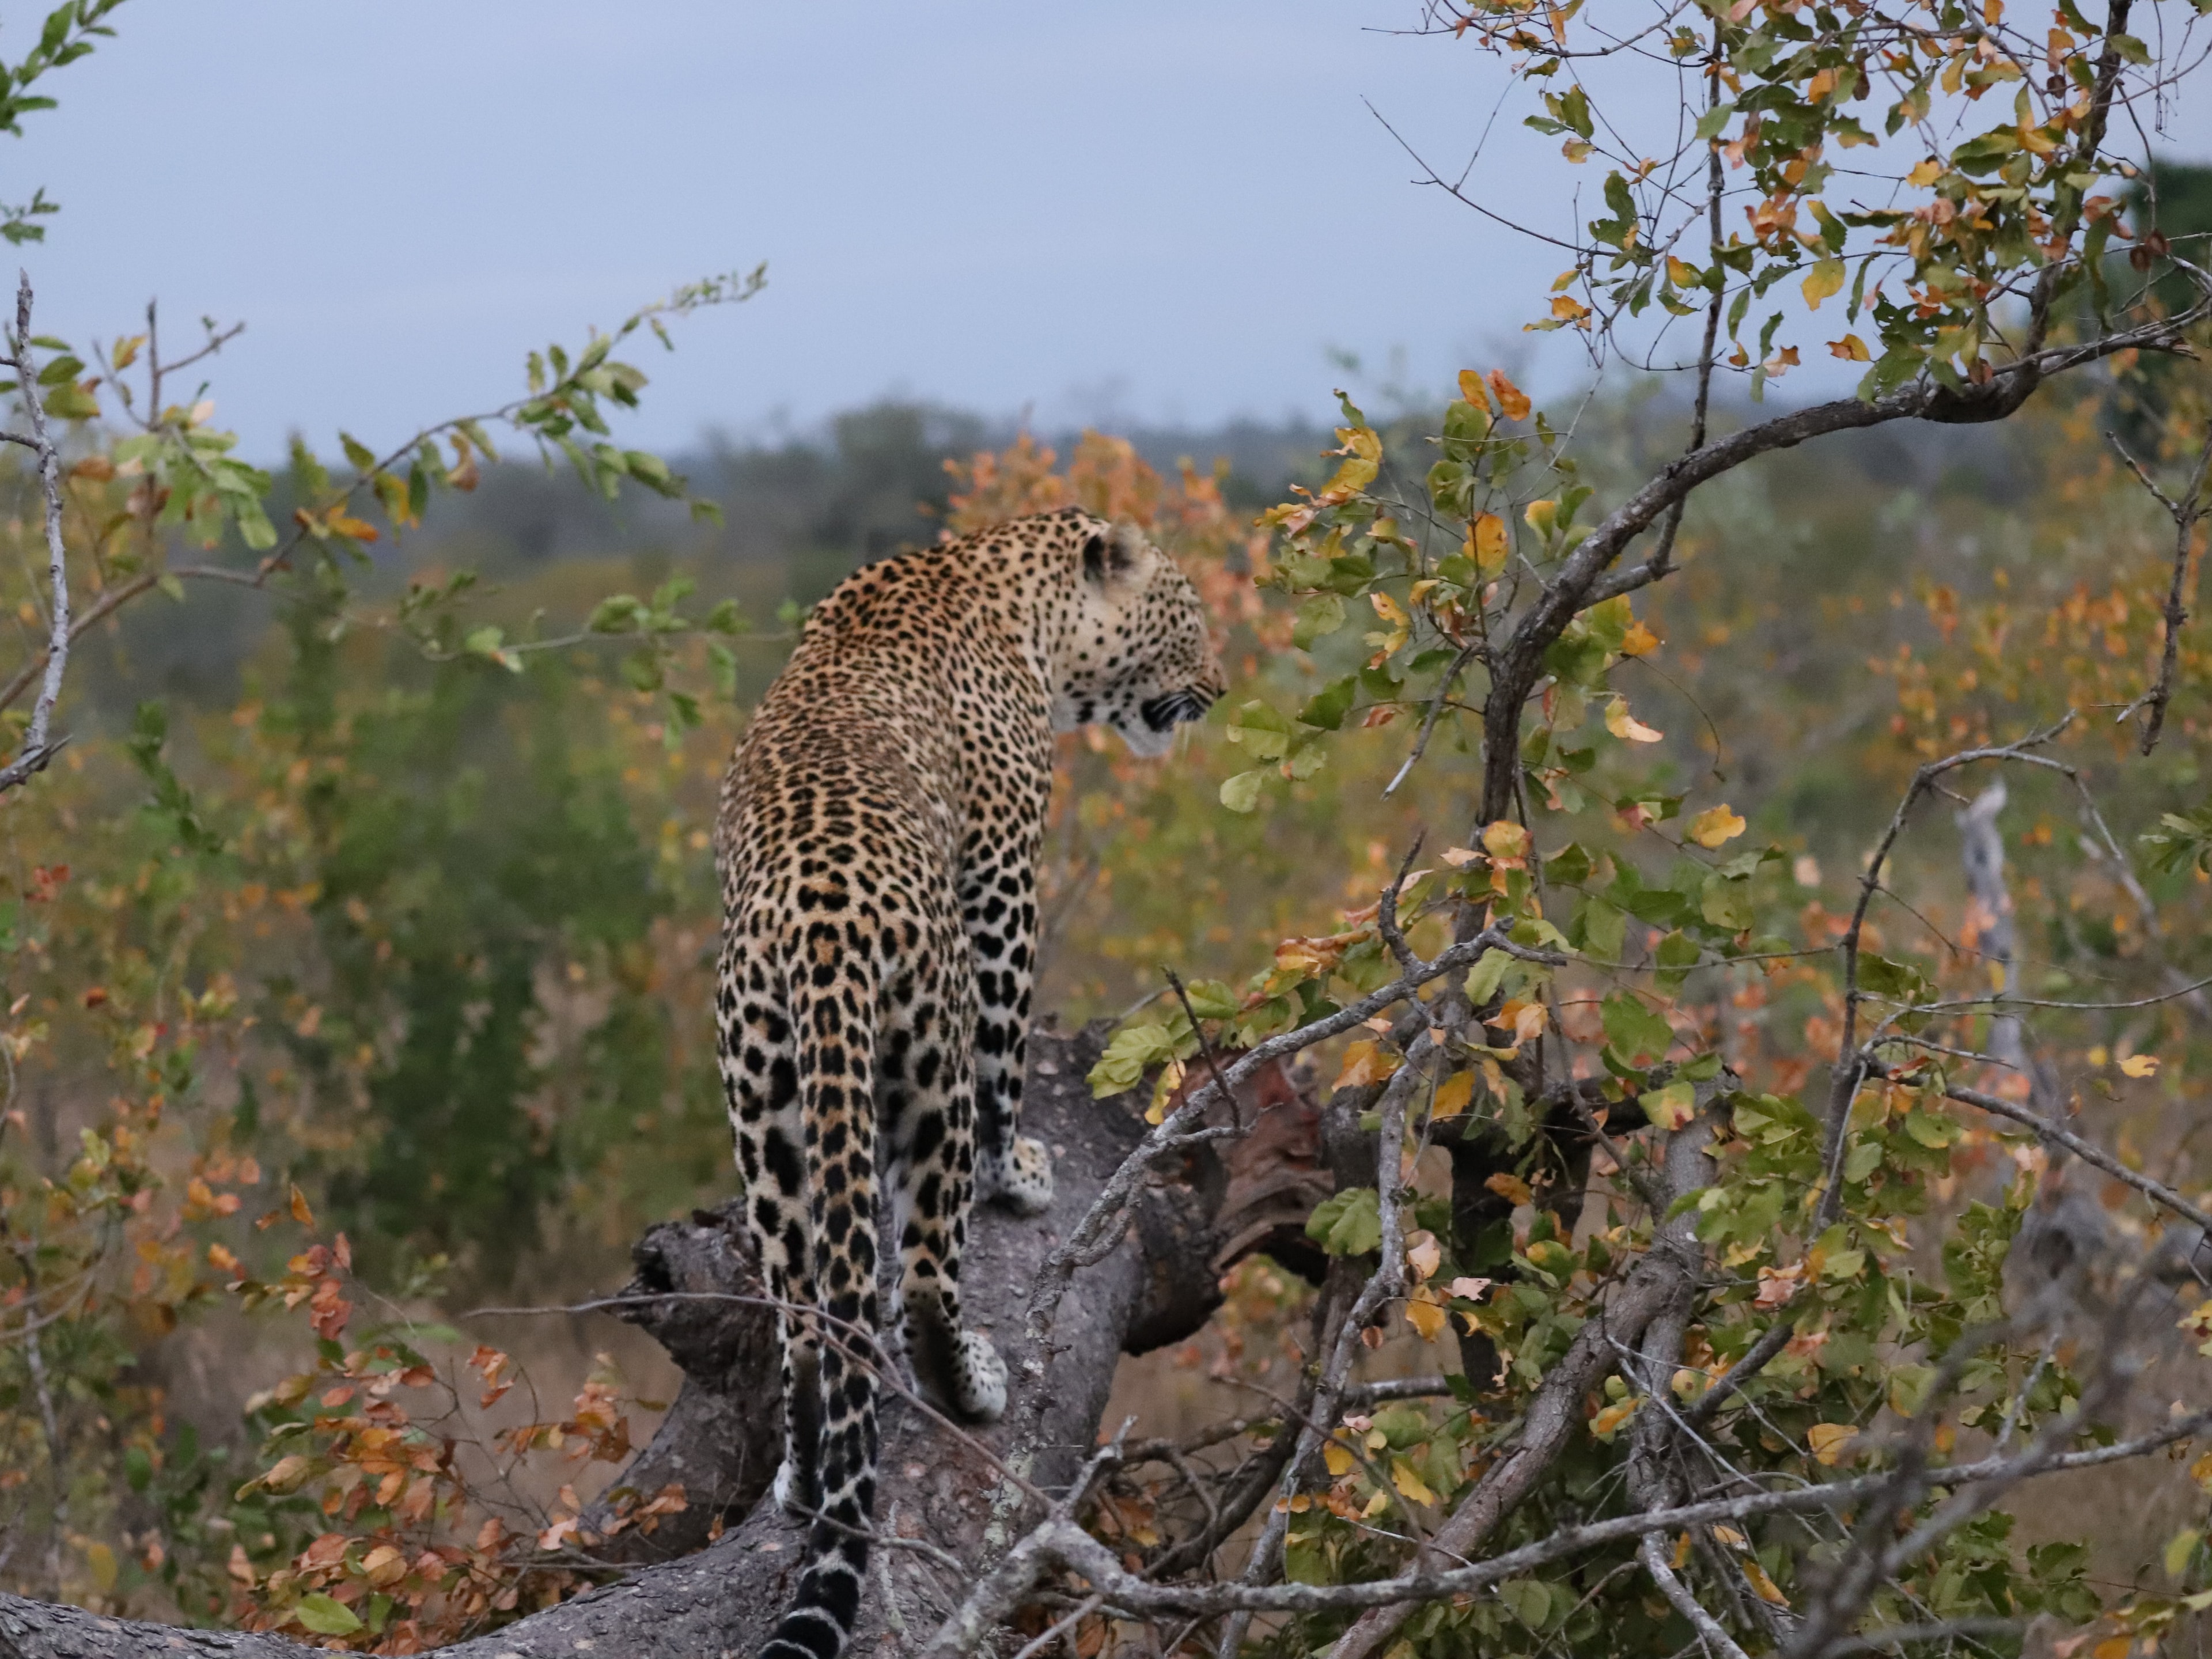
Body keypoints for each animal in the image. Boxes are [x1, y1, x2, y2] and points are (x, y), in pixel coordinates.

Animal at [712, 506, 1221, 1659]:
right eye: (1189, 617)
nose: (1219, 685)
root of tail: (819, 936)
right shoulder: (1002, 879)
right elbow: (1008, 1047)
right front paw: (1021, 1169)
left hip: (765, 1109)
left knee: (804, 1325)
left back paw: (802, 1478)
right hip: (922, 1070)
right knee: (924, 1274)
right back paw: (973, 1380)